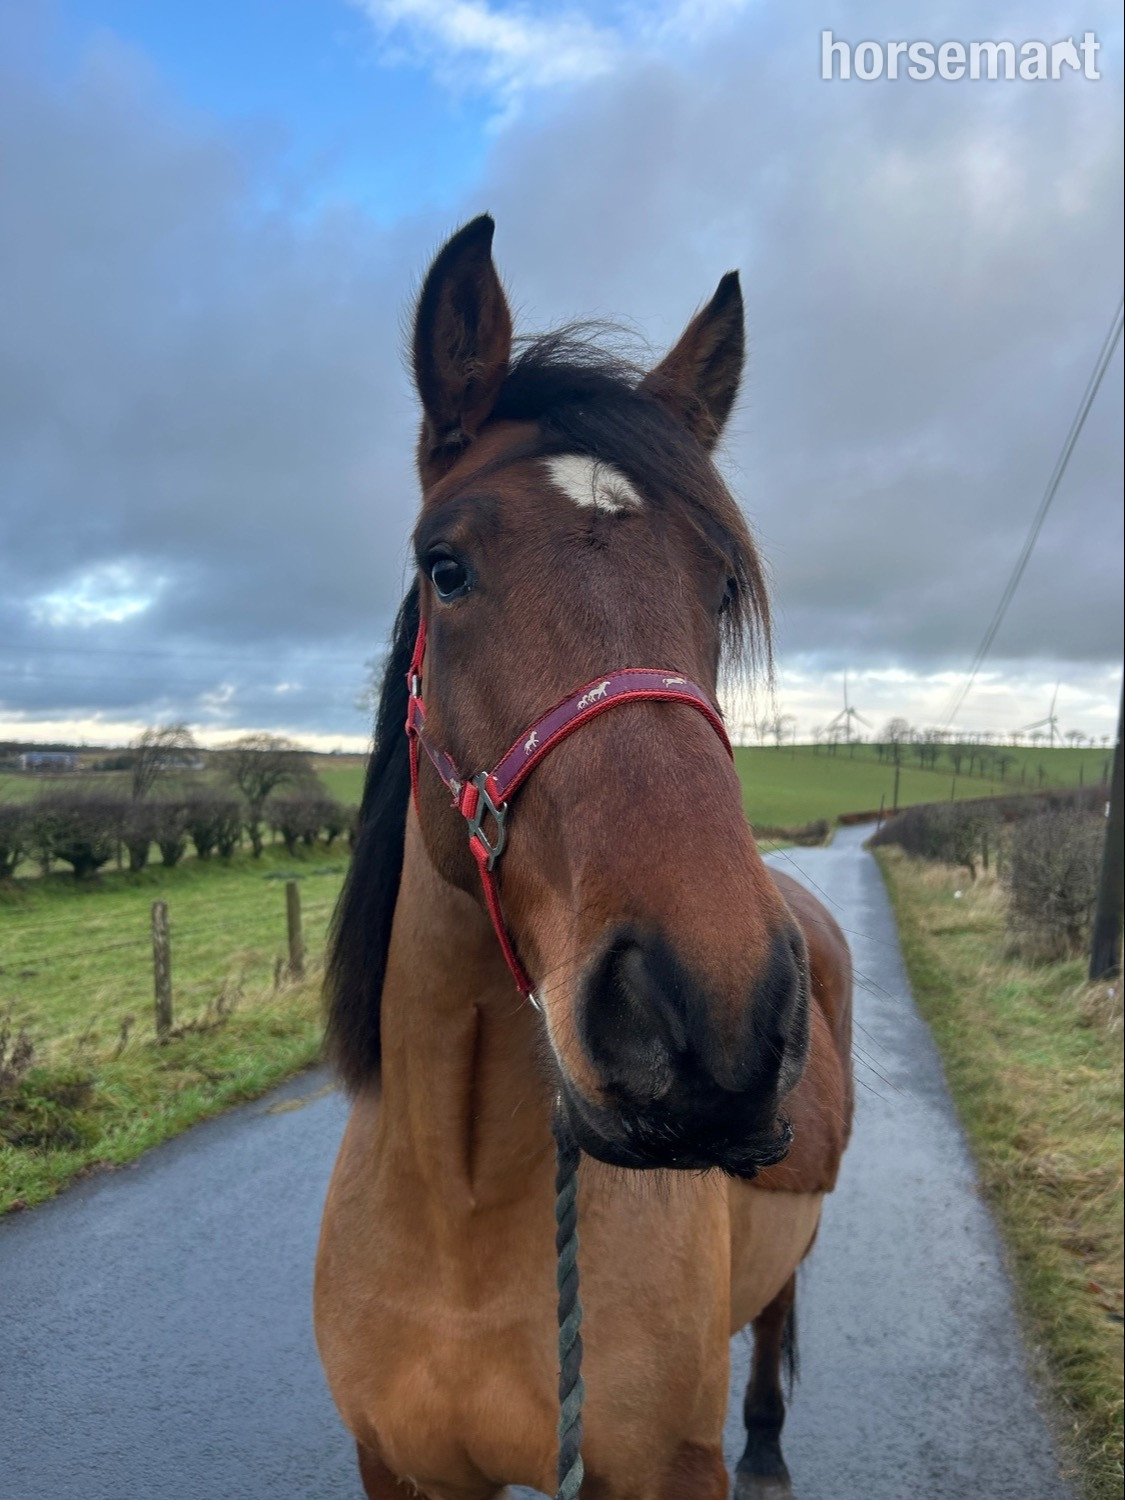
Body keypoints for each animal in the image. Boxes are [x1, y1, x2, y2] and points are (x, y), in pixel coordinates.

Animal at [315, 216, 853, 1500]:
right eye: (446, 565)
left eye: (721, 586)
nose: (715, 1013)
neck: (459, 1212)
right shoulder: (394, 1467)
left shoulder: (663, 1472)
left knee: (777, 1308)